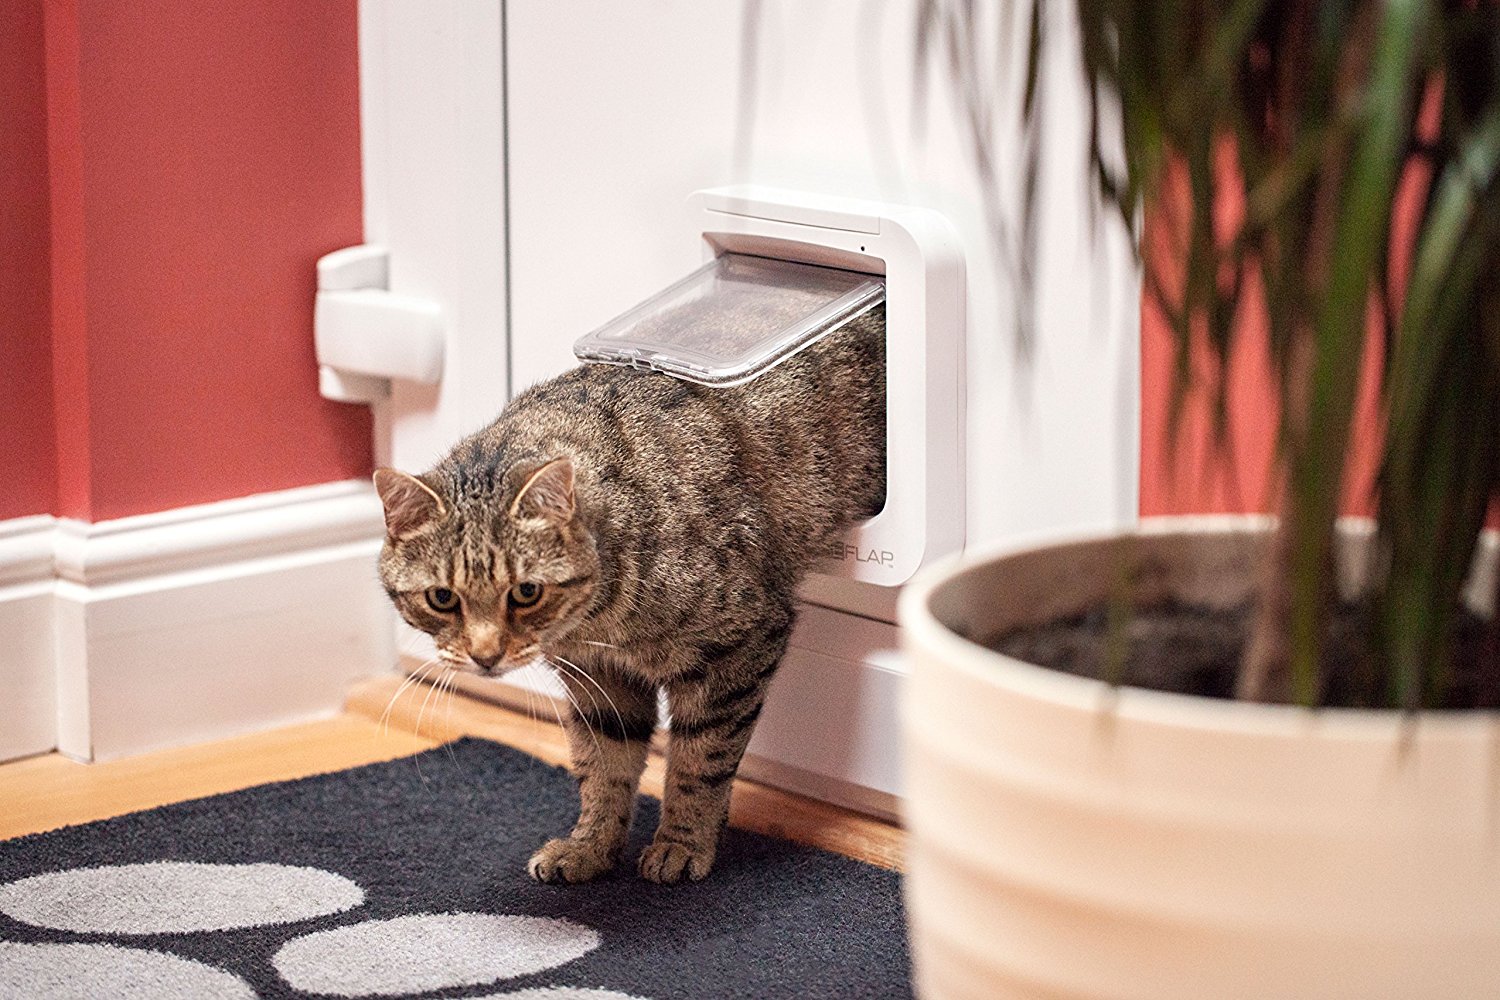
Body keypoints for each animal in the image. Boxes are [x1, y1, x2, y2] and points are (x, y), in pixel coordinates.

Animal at [373, 305, 885, 884]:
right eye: (442, 598)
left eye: (526, 592)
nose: (485, 656)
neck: (598, 621)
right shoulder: (596, 678)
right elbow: (602, 767)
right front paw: (590, 846)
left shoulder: (739, 645)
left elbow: (700, 760)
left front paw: (681, 842)